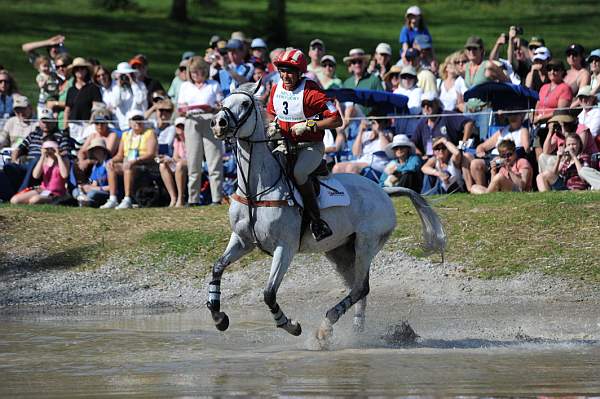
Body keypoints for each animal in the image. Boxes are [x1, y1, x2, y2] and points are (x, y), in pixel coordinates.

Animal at [206, 82, 446, 346]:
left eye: (245, 104)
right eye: (224, 102)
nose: (218, 123)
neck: (255, 189)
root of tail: (383, 191)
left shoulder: (285, 248)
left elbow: (269, 293)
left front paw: (291, 326)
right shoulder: (242, 240)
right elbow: (217, 268)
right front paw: (219, 317)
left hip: (366, 244)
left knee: (361, 287)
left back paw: (326, 327)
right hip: (339, 251)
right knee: (357, 287)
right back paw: (355, 330)